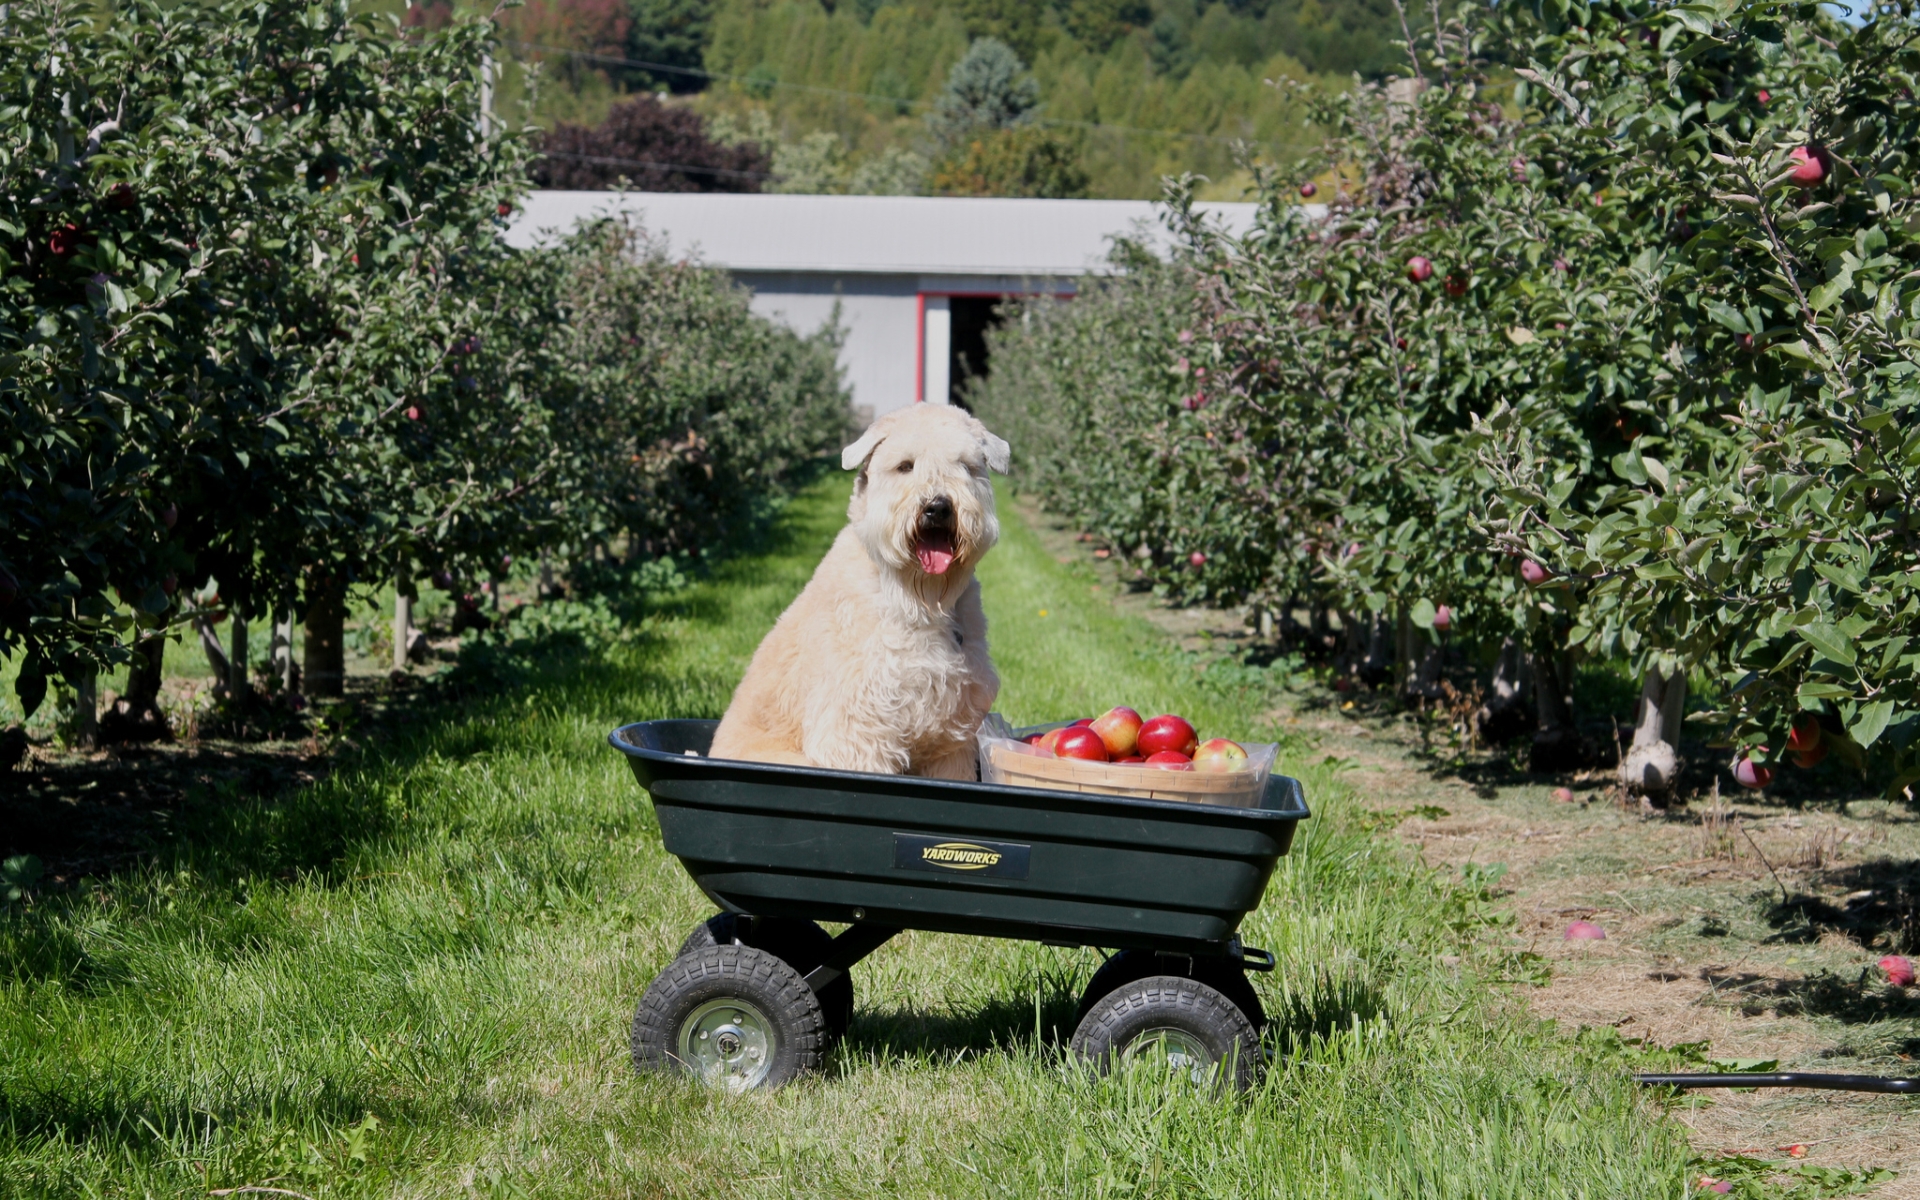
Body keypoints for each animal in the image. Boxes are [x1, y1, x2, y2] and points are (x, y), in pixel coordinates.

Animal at [710, 403, 1013, 775]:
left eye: (967, 467)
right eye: (905, 465)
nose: (938, 507)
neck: (917, 600)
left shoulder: (950, 740)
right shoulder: (856, 730)